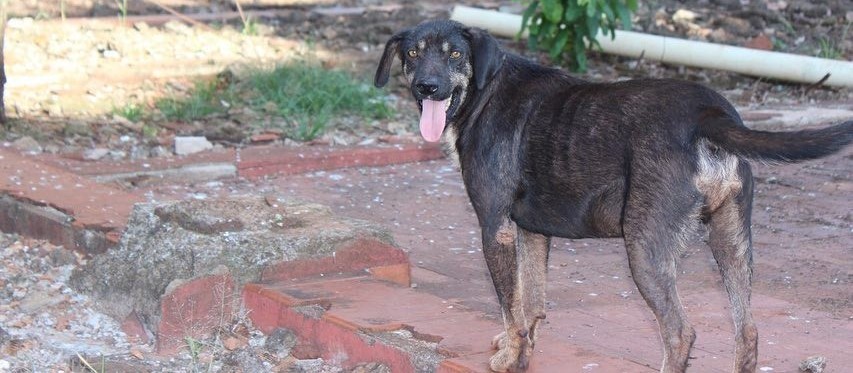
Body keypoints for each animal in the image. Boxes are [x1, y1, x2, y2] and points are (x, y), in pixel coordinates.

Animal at [376, 20, 848, 372]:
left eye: (455, 54)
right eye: (413, 54)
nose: (427, 87)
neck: (483, 91)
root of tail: (710, 115)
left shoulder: (495, 228)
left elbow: (510, 304)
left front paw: (511, 357)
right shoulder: (531, 231)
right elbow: (530, 301)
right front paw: (523, 348)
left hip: (644, 247)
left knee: (680, 333)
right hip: (731, 241)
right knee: (746, 331)